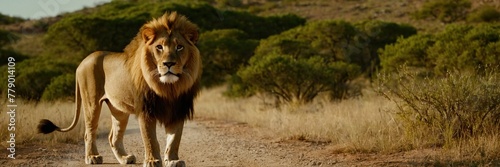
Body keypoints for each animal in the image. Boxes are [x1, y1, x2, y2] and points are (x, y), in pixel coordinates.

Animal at [37, 11, 201, 166]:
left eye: (179, 47)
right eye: (159, 47)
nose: (169, 64)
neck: (169, 87)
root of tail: (82, 62)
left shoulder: (178, 110)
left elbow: (174, 140)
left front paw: (173, 160)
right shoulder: (146, 111)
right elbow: (150, 139)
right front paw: (152, 161)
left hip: (119, 110)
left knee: (113, 137)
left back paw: (124, 158)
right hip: (91, 104)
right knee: (89, 133)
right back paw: (92, 157)